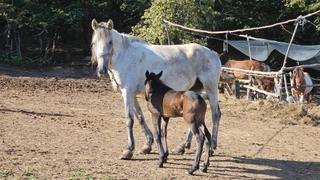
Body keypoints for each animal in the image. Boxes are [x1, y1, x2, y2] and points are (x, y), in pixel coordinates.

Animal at [89, 19, 220, 160]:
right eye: (94, 43)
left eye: (110, 42)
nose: (101, 70)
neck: (125, 56)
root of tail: (213, 53)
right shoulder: (132, 94)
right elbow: (140, 117)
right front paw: (147, 145)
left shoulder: (127, 92)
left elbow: (129, 119)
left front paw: (128, 150)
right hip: (195, 91)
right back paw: (182, 146)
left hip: (211, 90)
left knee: (216, 115)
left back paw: (211, 147)